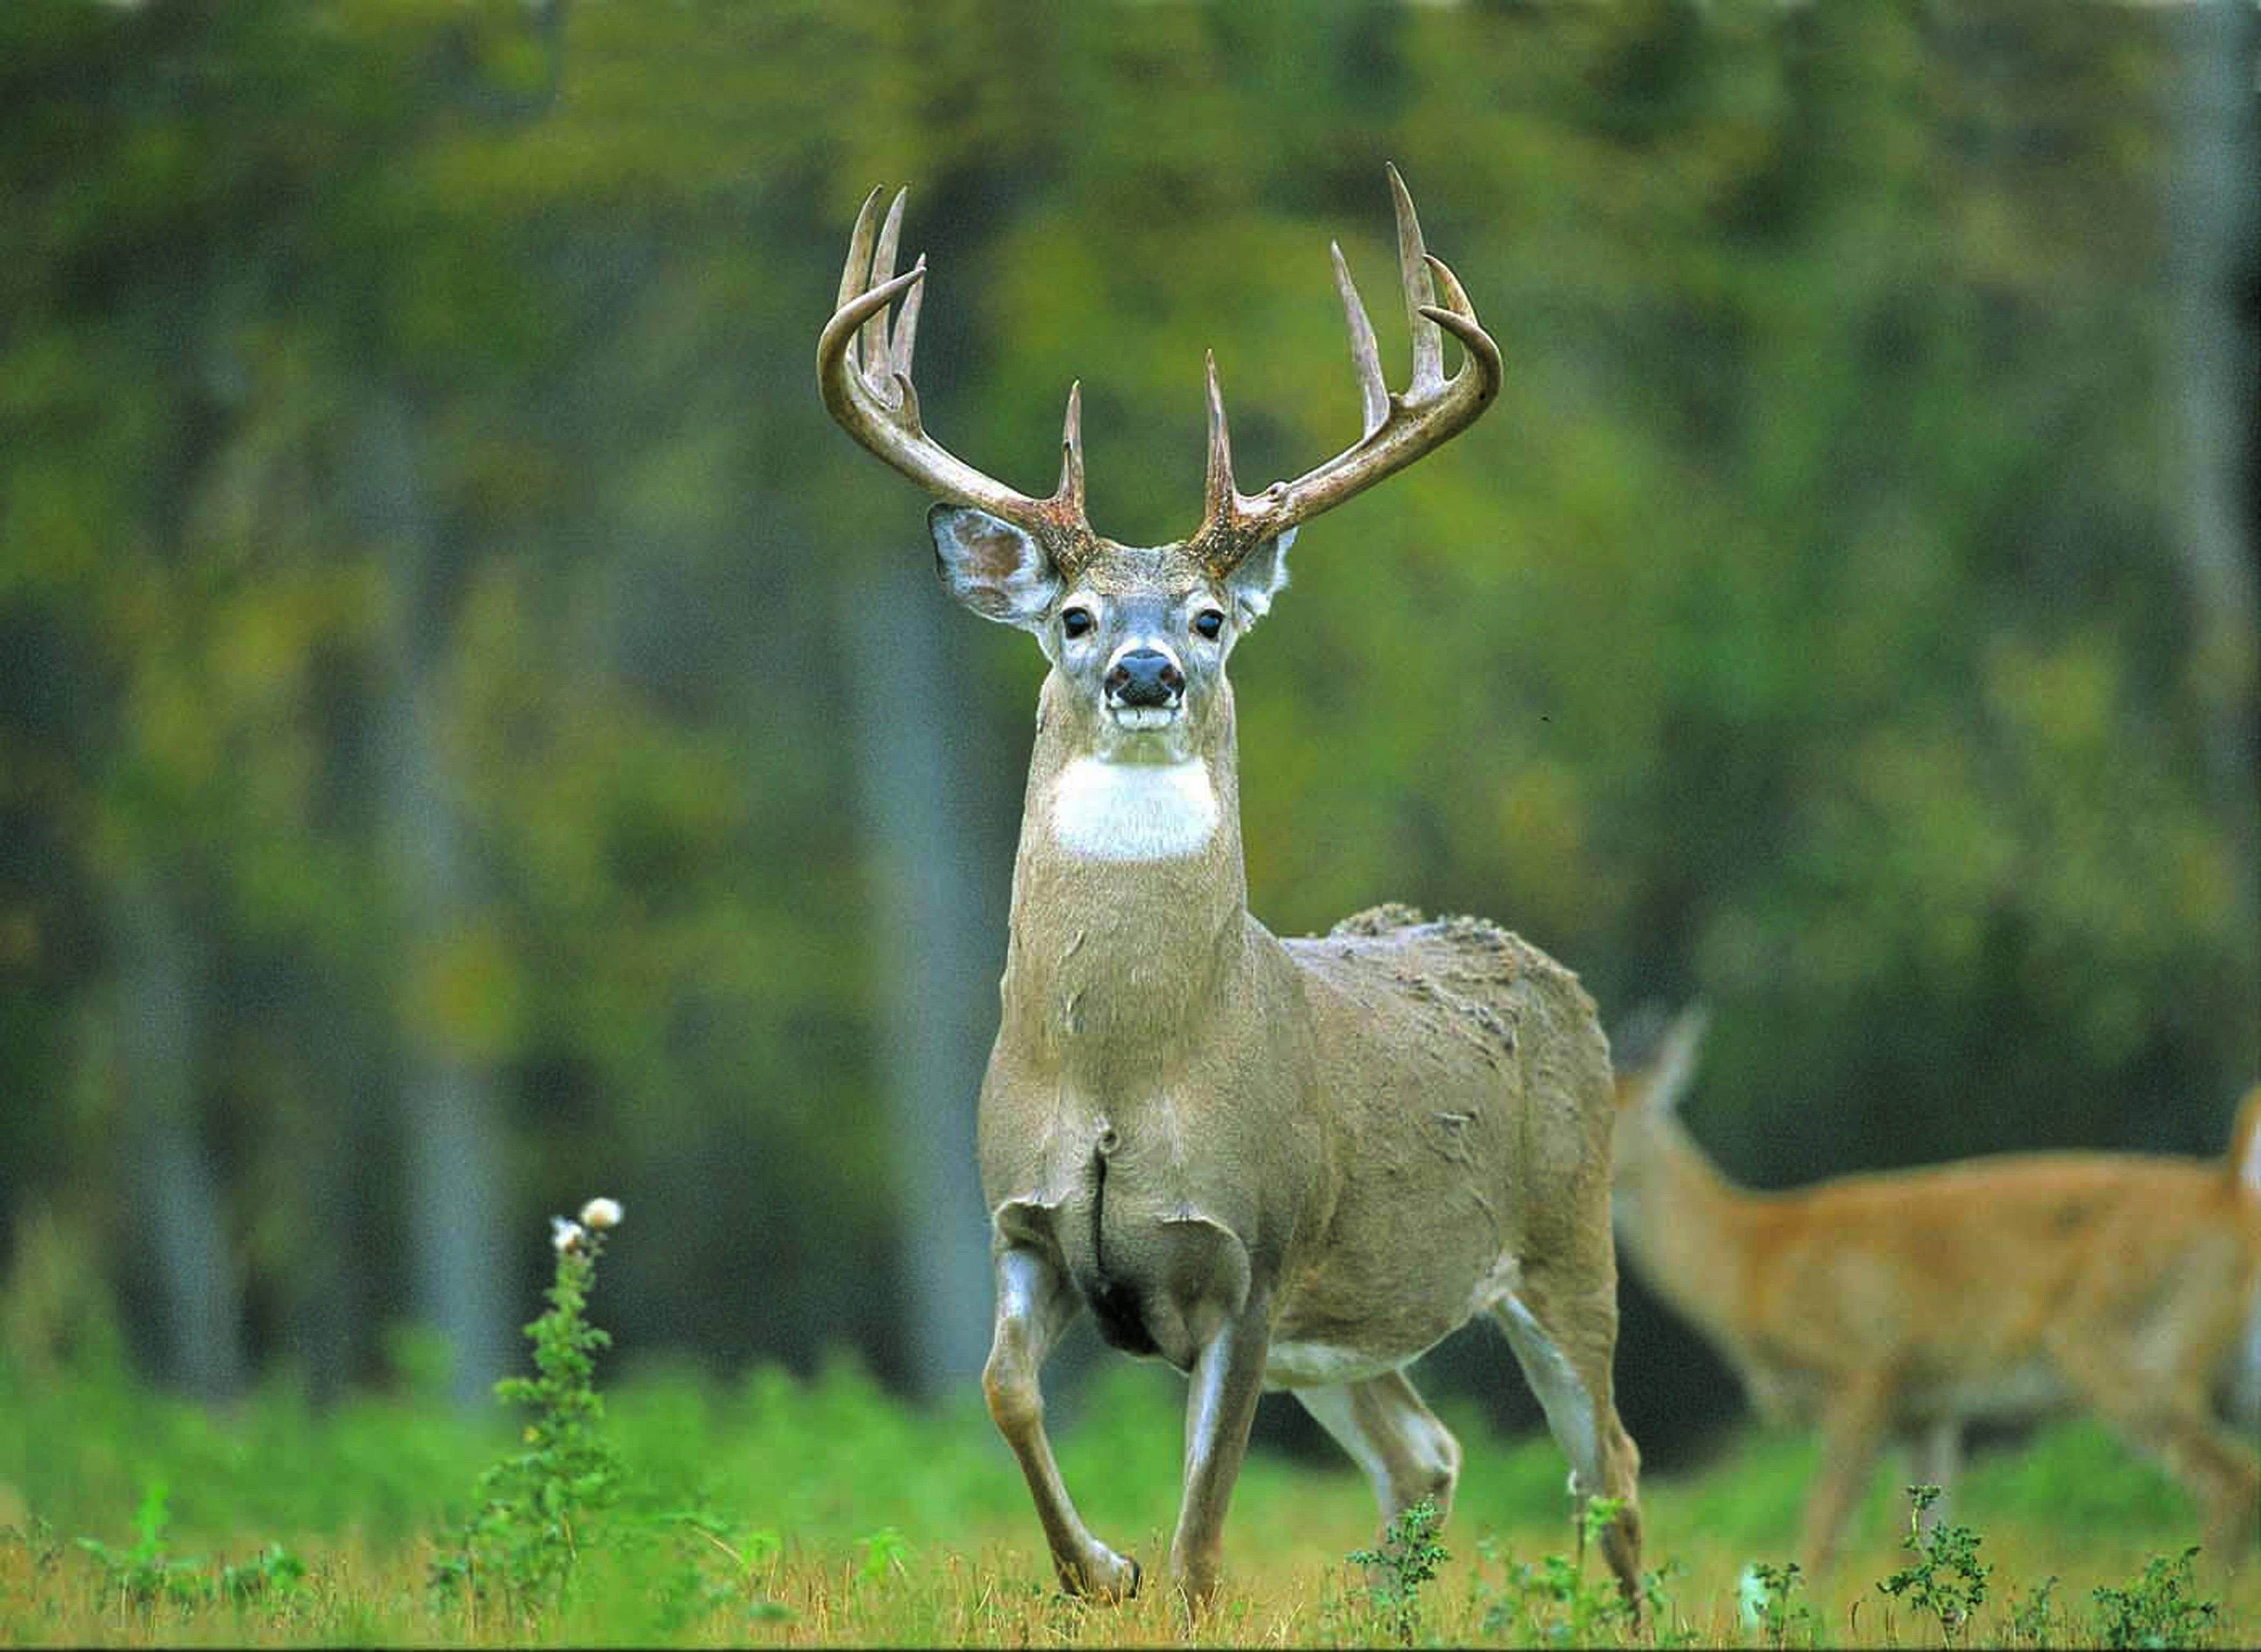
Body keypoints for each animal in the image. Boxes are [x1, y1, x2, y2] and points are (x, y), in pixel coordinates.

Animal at [814, 171, 1646, 1618]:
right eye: (1075, 616)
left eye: (1209, 619)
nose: (1147, 670)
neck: (1124, 1068)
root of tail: (1548, 973)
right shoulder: (1020, 1221)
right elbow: (1001, 1389)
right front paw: (1099, 1564)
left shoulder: (1255, 1251)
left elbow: (1208, 1531)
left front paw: (1153, 1571)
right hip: (1355, 1327)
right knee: (1428, 1453)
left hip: (1564, 1241)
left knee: (1613, 1466)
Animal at [1610, 1003, 2261, 1582]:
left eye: (1617, 1109)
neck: (1752, 1262)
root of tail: (2231, 1194)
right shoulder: (1927, 1407)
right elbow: (1920, 1535)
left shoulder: (1863, 1371)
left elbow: (1824, 1528)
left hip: (2134, 1352)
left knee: (2230, 1483)